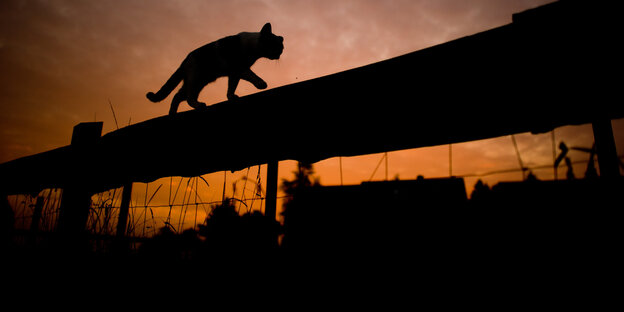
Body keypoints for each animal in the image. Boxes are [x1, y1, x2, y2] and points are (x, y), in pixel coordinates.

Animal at [146, 22, 282, 114]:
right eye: (275, 45)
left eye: (281, 48)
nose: (280, 54)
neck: (252, 49)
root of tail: (184, 61)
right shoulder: (239, 68)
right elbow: (252, 76)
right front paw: (261, 84)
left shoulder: (234, 74)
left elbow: (231, 87)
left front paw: (231, 96)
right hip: (196, 80)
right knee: (188, 98)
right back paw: (199, 105)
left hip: (198, 82)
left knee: (177, 96)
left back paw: (172, 113)